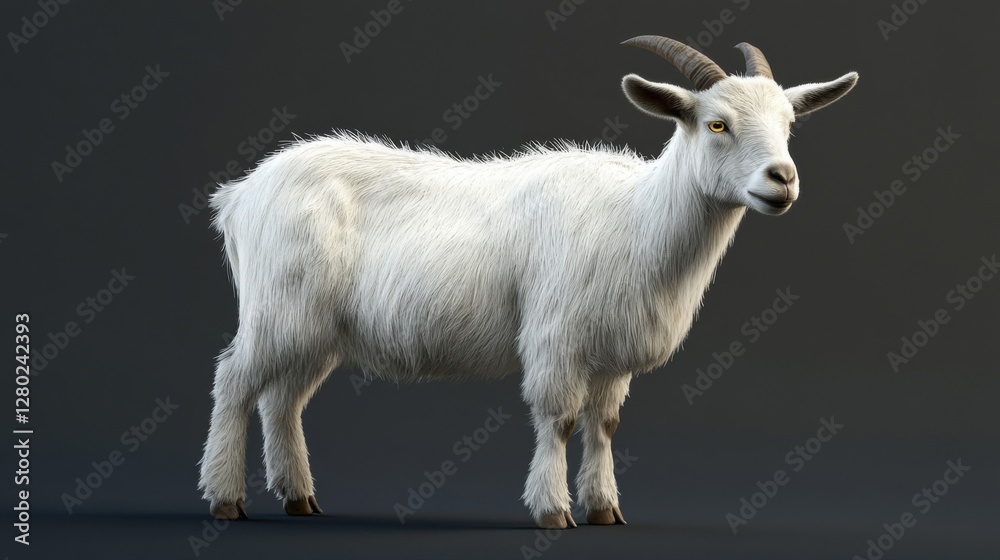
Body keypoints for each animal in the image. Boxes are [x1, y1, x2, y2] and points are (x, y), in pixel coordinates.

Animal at [198, 35, 858, 528]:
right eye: (717, 124)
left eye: (789, 123)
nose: (782, 179)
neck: (636, 217)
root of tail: (239, 194)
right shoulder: (556, 335)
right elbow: (560, 418)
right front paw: (552, 510)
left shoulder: (609, 354)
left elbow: (603, 425)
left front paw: (604, 508)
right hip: (278, 306)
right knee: (235, 382)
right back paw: (226, 498)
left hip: (315, 325)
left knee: (283, 399)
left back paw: (299, 497)